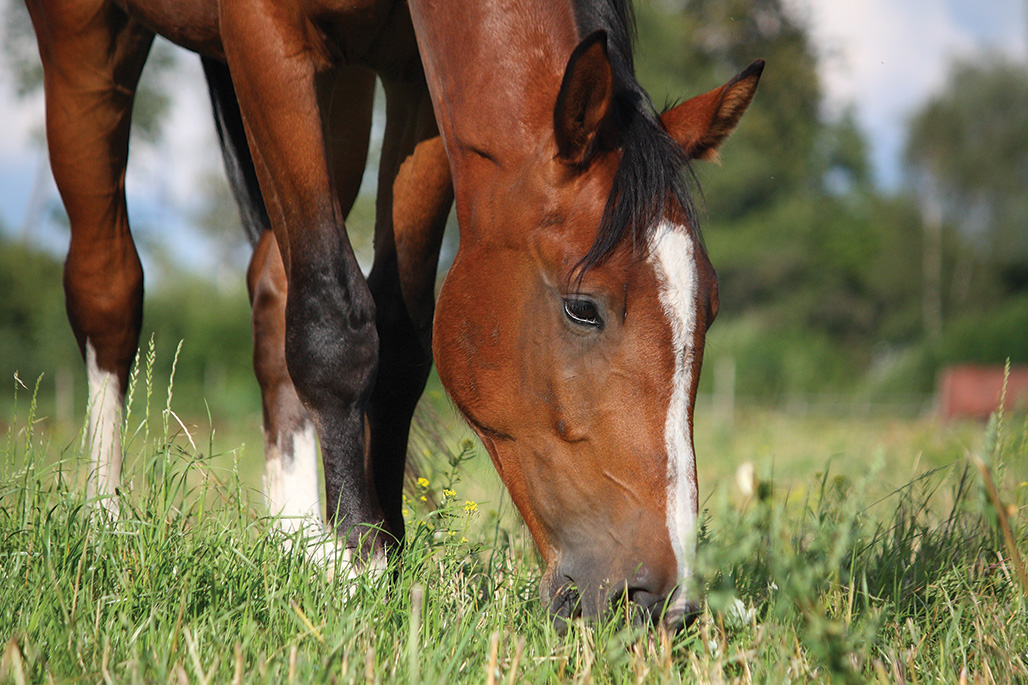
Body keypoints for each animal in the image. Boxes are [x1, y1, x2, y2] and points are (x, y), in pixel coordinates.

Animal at [26, 0, 761, 629]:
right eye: (583, 307)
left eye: (709, 309)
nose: (663, 602)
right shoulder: (263, 36)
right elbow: (335, 325)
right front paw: (359, 568)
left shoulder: (418, 86)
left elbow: (402, 335)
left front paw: (381, 547)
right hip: (91, 40)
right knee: (109, 287)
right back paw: (103, 523)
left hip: (342, 90)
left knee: (274, 285)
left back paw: (296, 539)